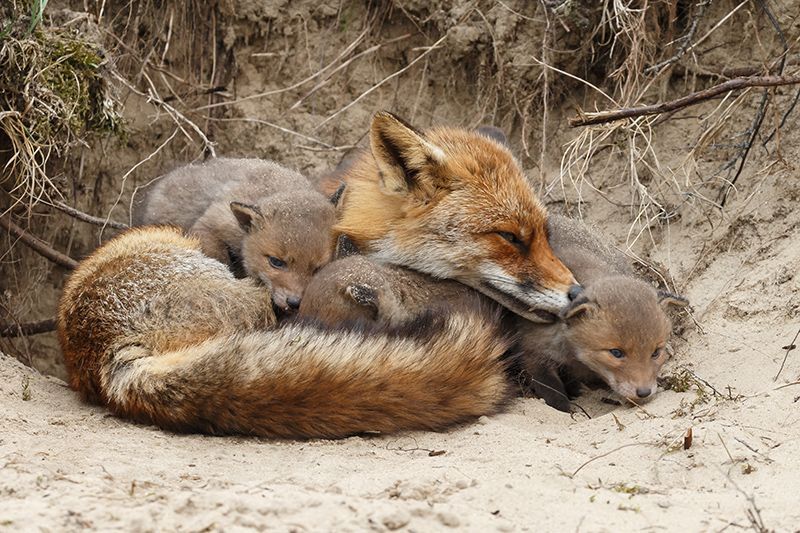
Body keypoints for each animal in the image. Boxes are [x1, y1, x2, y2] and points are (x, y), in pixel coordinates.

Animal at [516, 215, 689, 412]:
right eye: (616, 353)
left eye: (656, 352)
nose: (644, 392)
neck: (570, 349)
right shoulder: (533, 352)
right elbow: (552, 392)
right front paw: (566, 408)